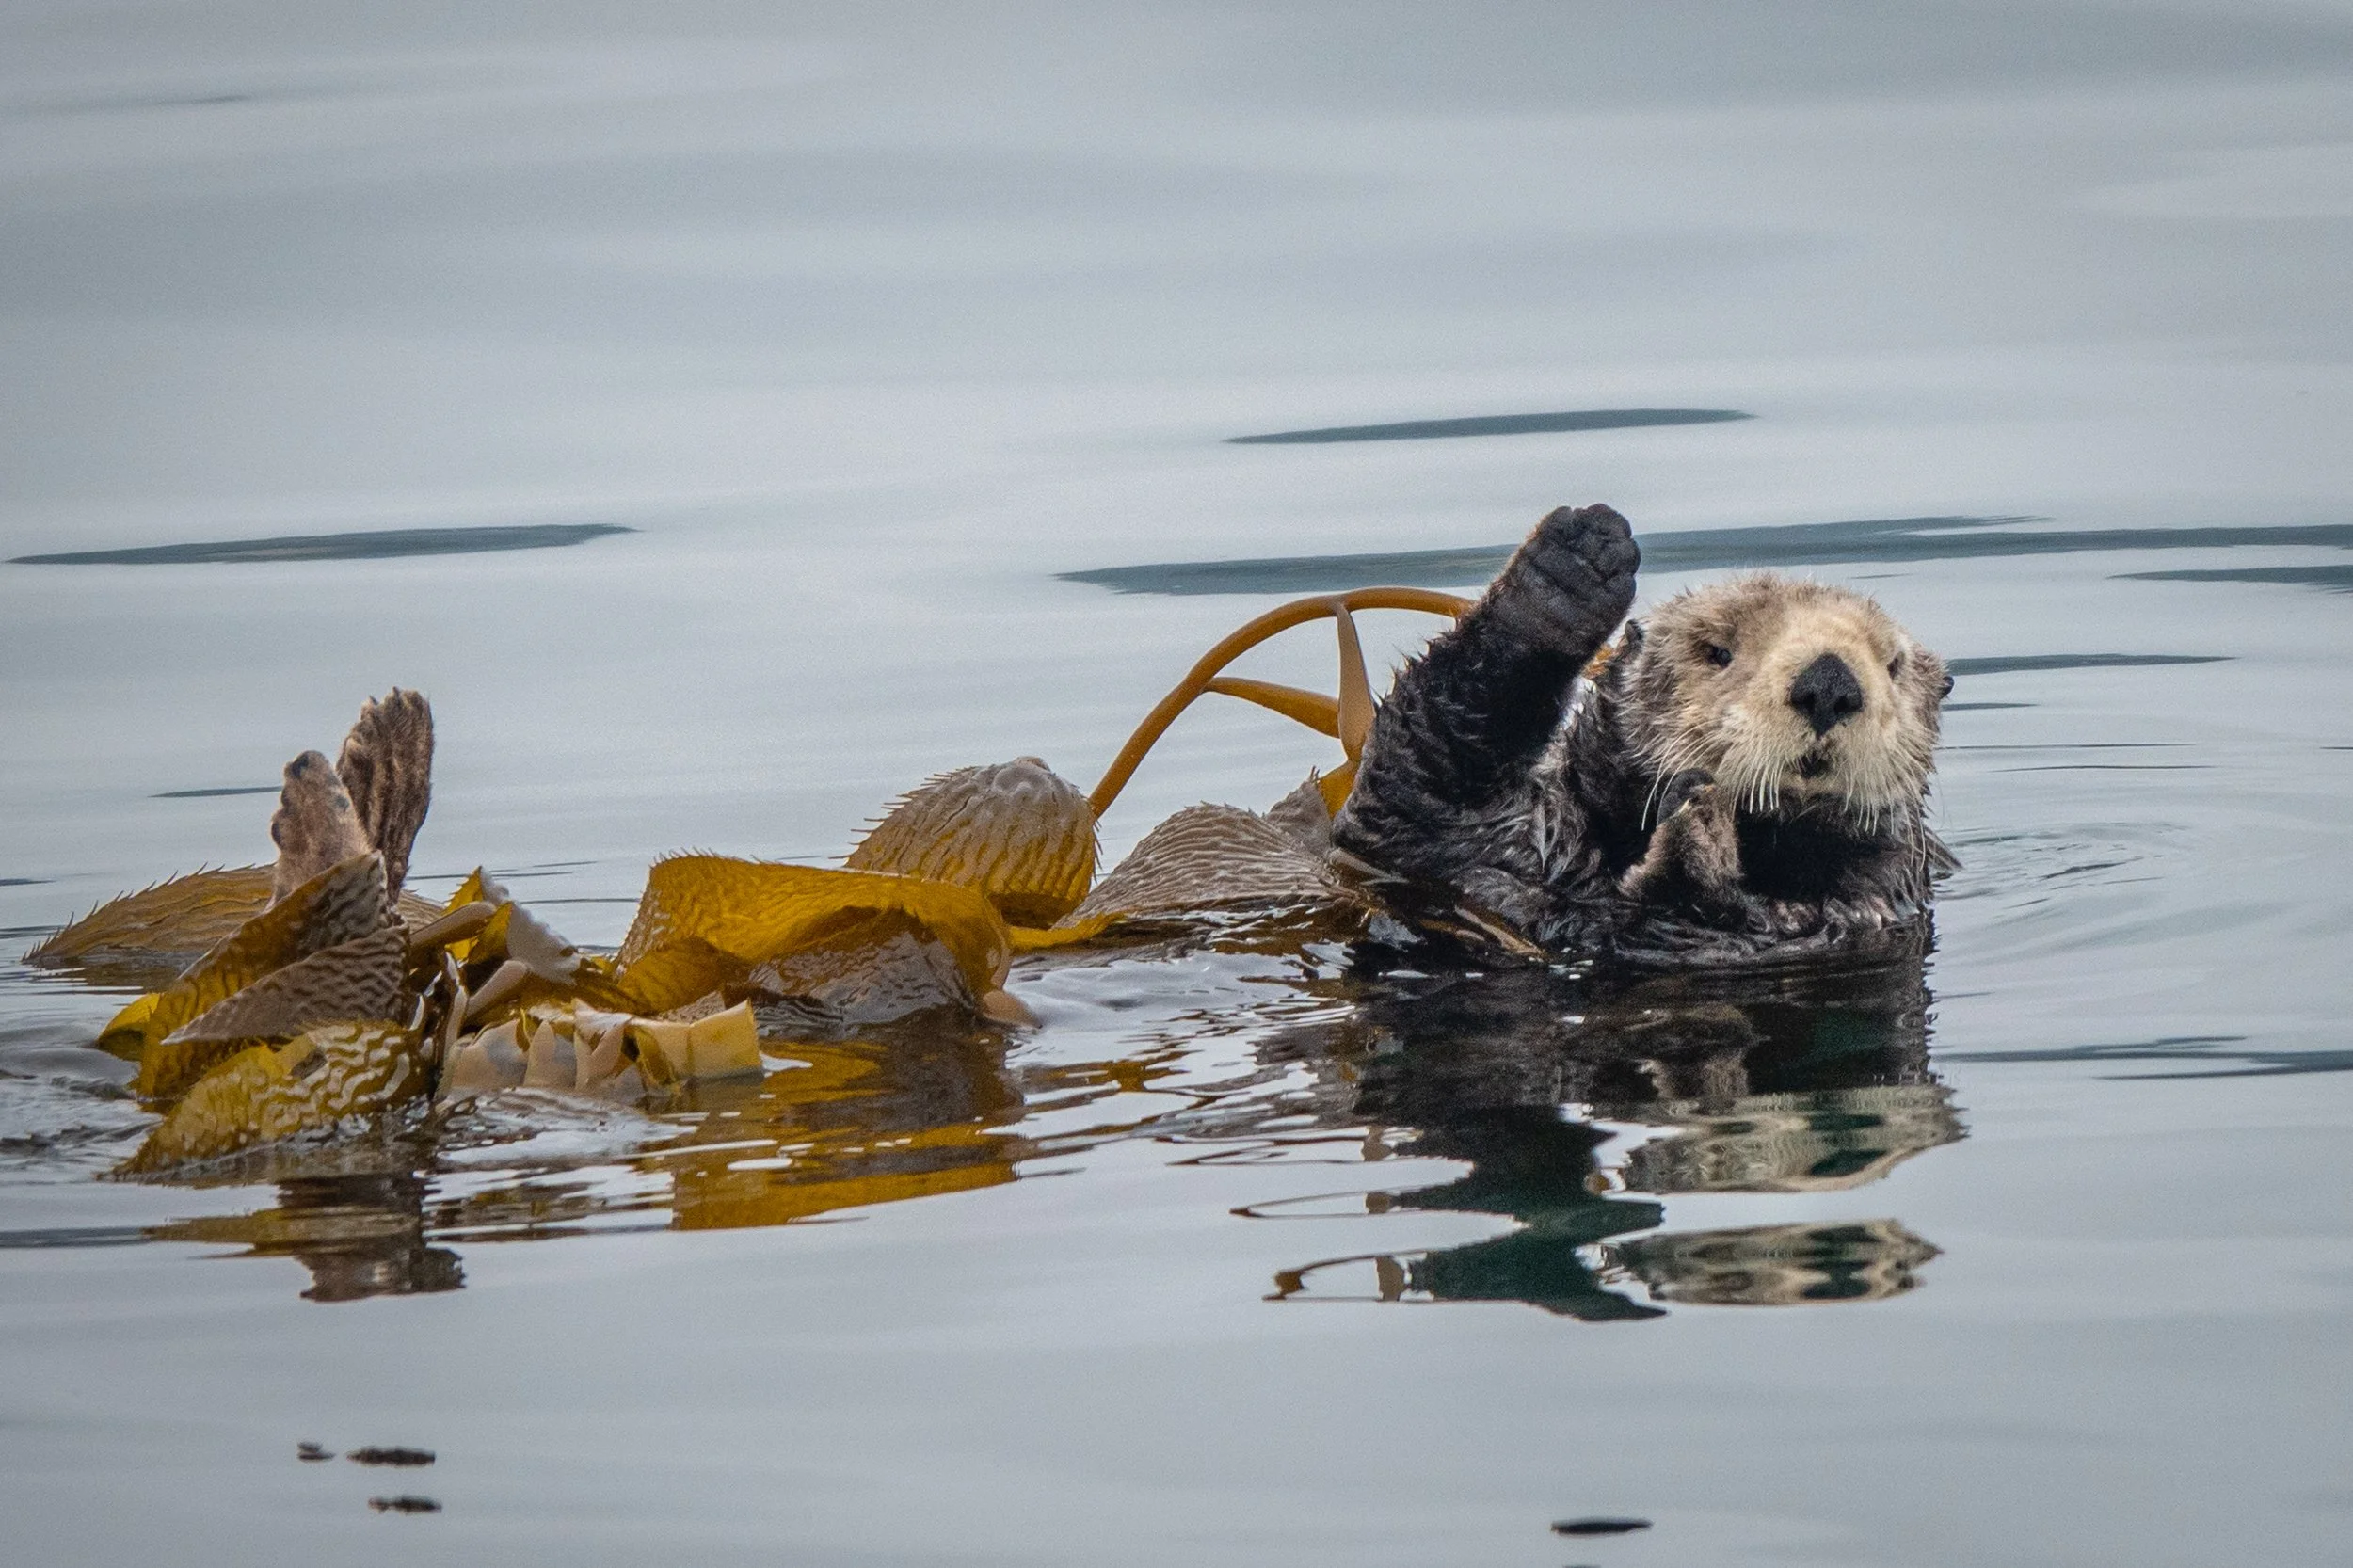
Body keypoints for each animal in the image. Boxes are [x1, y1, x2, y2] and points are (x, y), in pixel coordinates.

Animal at [1333, 504, 1954, 958]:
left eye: (1892, 665)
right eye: (1717, 651)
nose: (1829, 683)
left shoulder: (1863, 903)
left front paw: (1696, 833)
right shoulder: (1466, 845)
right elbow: (1421, 781)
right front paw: (1571, 570)